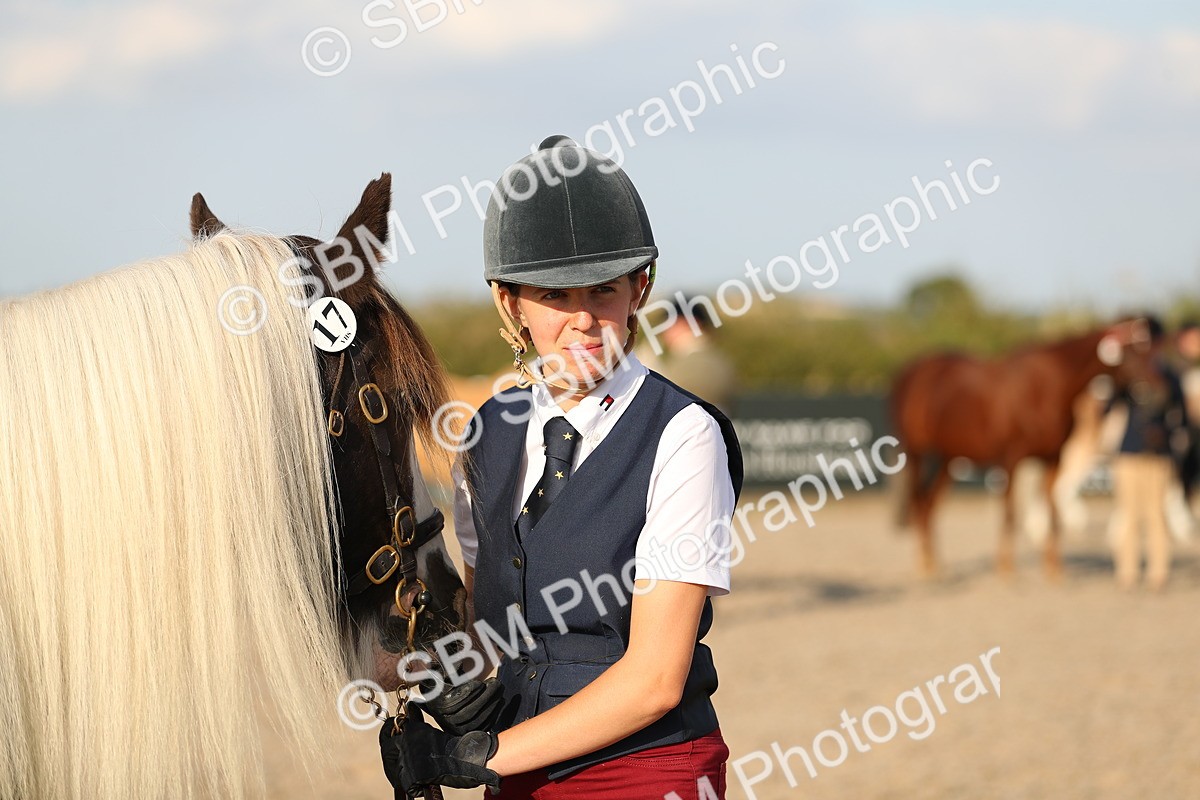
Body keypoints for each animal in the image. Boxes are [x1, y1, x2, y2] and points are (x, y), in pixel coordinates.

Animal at [890, 318, 1166, 578]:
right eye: (1134, 349)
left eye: (1155, 349)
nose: (1156, 391)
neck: (1046, 388)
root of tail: (912, 371)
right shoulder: (1012, 460)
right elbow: (1011, 513)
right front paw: (1006, 569)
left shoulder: (1053, 459)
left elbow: (1052, 513)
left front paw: (1054, 569)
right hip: (916, 454)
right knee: (919, 502)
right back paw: (925, 566)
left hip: (949, 459)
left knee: (929, 505)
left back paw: (934, 563)